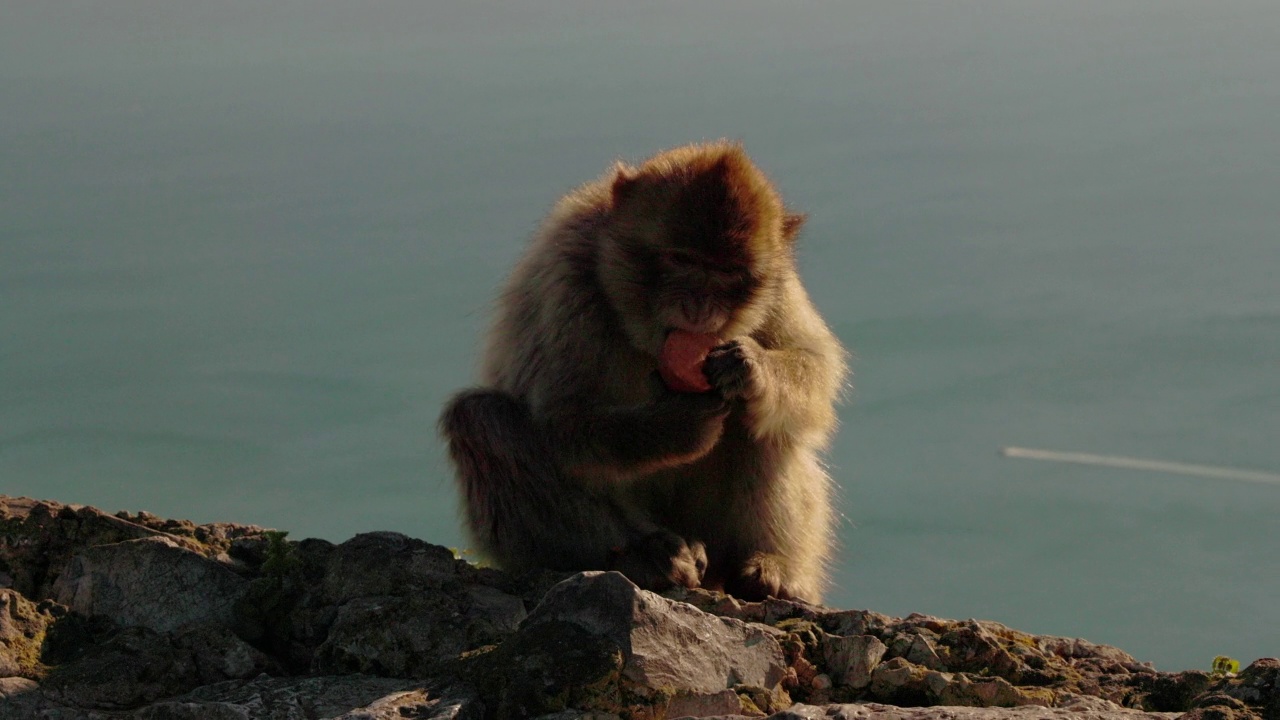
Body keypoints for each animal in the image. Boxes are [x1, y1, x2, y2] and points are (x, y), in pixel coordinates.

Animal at [440, 140, 849, 599]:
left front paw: (752, 369)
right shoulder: (566, 279)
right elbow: (561, 424)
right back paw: (646, 556)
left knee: (763, 424)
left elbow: (817, 369)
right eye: (681, 258)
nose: (699, 307)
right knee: (479, 419)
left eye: (727, 271)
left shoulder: (779, 284)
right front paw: (677, 425)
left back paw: (769, 567)